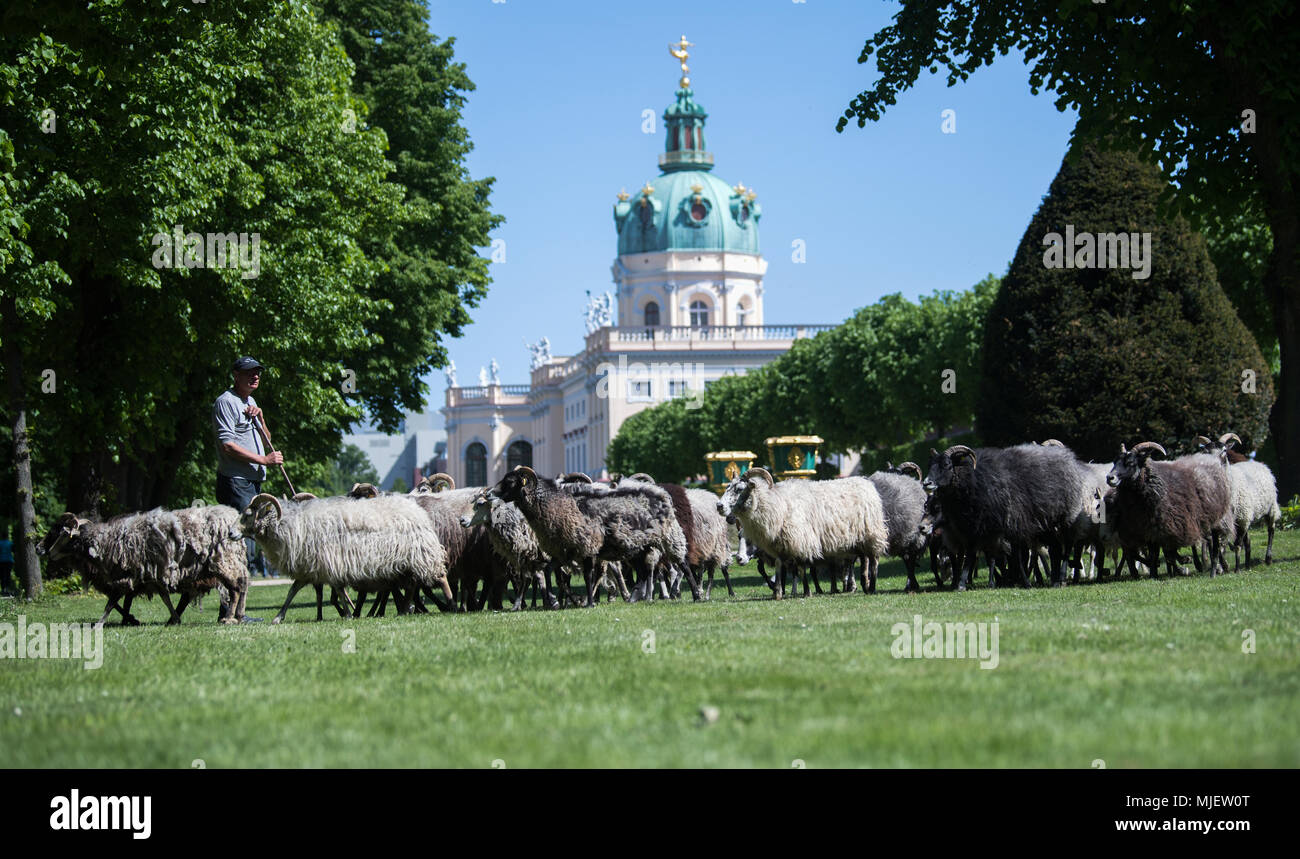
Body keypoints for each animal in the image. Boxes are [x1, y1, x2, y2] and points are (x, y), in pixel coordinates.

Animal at [239, 488, 452, 623]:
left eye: (248, 515)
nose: (232, 533)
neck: (293, 525)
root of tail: (418, 511)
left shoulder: (331, 564)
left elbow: (339, 591)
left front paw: (348, 615)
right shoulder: (310, 568)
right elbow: (293, 591)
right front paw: (278, 617)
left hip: (421, 555)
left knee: (440, 578)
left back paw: (450, 605)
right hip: (406, 564)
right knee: (410, 587)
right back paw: (405, 610)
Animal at [717, 467, 889, 595]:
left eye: (739, 489)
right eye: (727, 487)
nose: (719, 506)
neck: (775, 503)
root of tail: (864, 481)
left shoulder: (801, 540)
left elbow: (800, 568)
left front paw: (806, 592)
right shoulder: (781, 546)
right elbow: (782, 570)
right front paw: (779, 592)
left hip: (871, 534)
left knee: (873, 560)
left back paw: (871, 587)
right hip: (858, 540)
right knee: (863, 559)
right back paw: (864, 585)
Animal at [1107, 441, 1227, 576]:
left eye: (1131, 462)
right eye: (1114, 462)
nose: (1109, 477)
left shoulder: (1167, 526)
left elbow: (1164, 552)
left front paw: (1180, 564)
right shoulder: (1148, 529)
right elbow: (1154, 554)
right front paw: (1155, 573)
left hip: (1213, 518)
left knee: (1214, 544)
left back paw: (1214, 570)